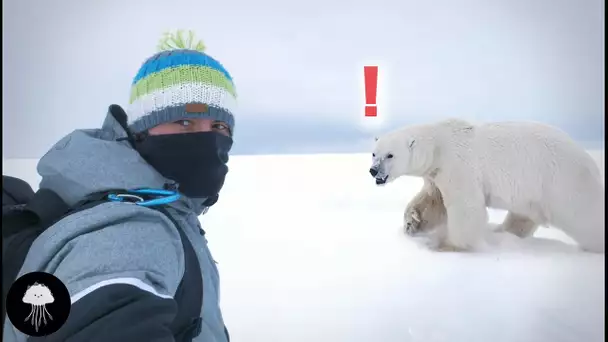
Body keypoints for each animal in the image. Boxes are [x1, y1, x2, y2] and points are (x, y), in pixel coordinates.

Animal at [370, 119, 604, 252]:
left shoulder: (458, 165)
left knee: (585, 218)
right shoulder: (436, 174)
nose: (373, 171)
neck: (439, 145)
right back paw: (501, 232)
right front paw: (412, 223)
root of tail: (589, 160)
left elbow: (465, 206)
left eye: (390, 155)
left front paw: (449, 246)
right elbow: (433, 201)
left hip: (563, 183)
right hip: (534, 193)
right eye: (374, 153)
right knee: (523, 215)